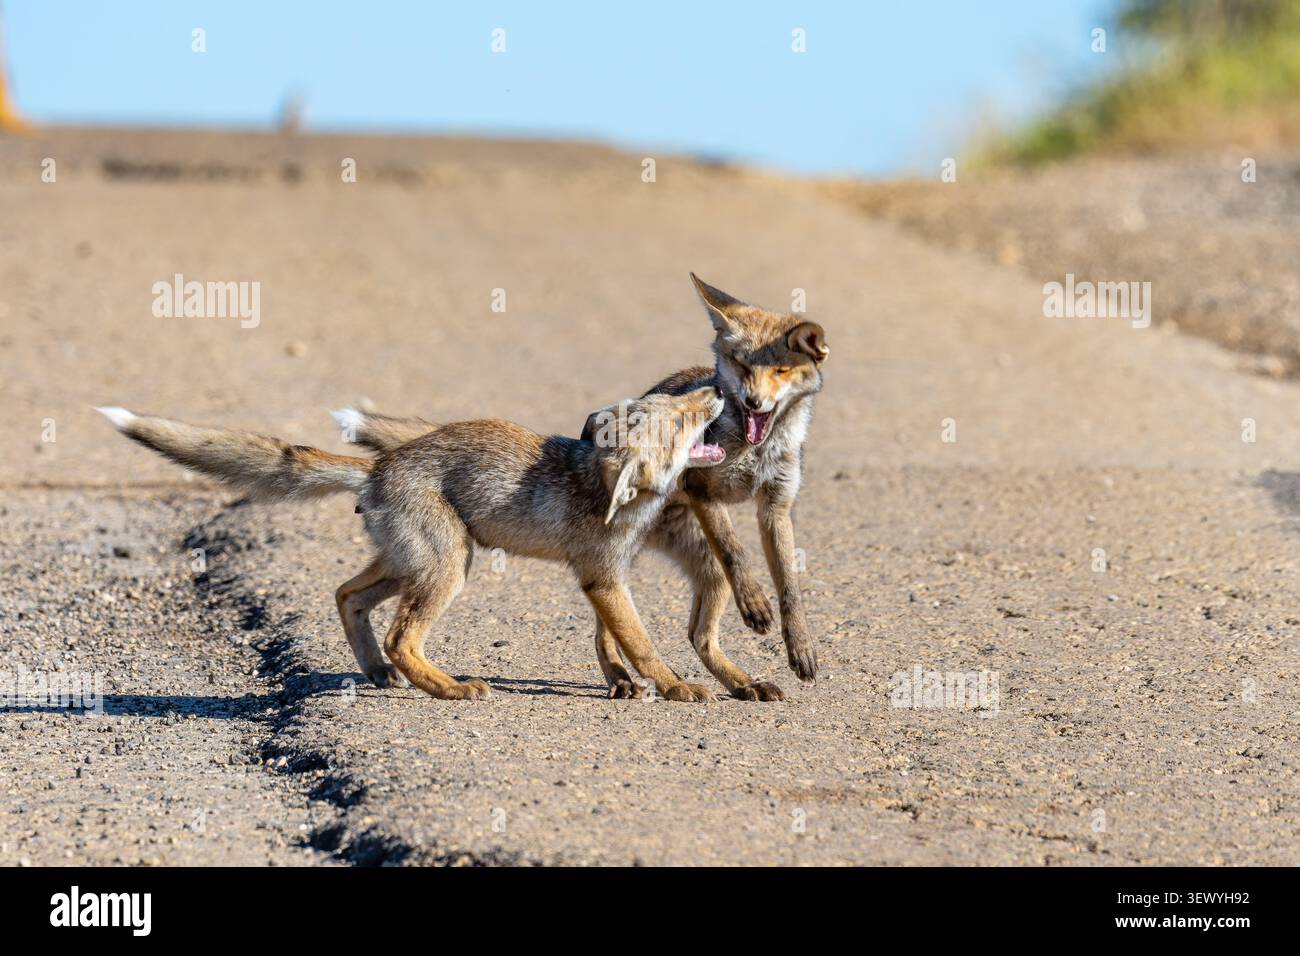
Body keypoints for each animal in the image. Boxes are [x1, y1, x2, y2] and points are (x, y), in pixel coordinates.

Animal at [95, 386, 729, 703]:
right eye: (682, 420)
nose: (713, 390)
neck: (607, 494)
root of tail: (381, 465)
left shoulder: (606, 578)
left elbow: (613, 641)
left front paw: (624, 684)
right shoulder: (603, 576)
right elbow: (644, 645)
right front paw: (676, 688)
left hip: (409, 563)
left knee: (346, 595)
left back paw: (378, 672)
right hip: (448, 567)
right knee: (401, 637)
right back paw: (448, 688)